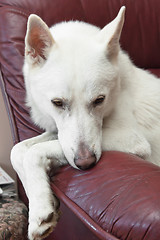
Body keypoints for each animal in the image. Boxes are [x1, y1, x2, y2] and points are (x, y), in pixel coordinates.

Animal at [10, 7, 160, 240]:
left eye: (99, 100)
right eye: (57, 103)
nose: (86, 164)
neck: (119, 89)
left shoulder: (132, 139)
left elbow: (34, 152)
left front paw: (40, 210)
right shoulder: (60, 133)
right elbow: (18, 150)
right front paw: (42, 200)